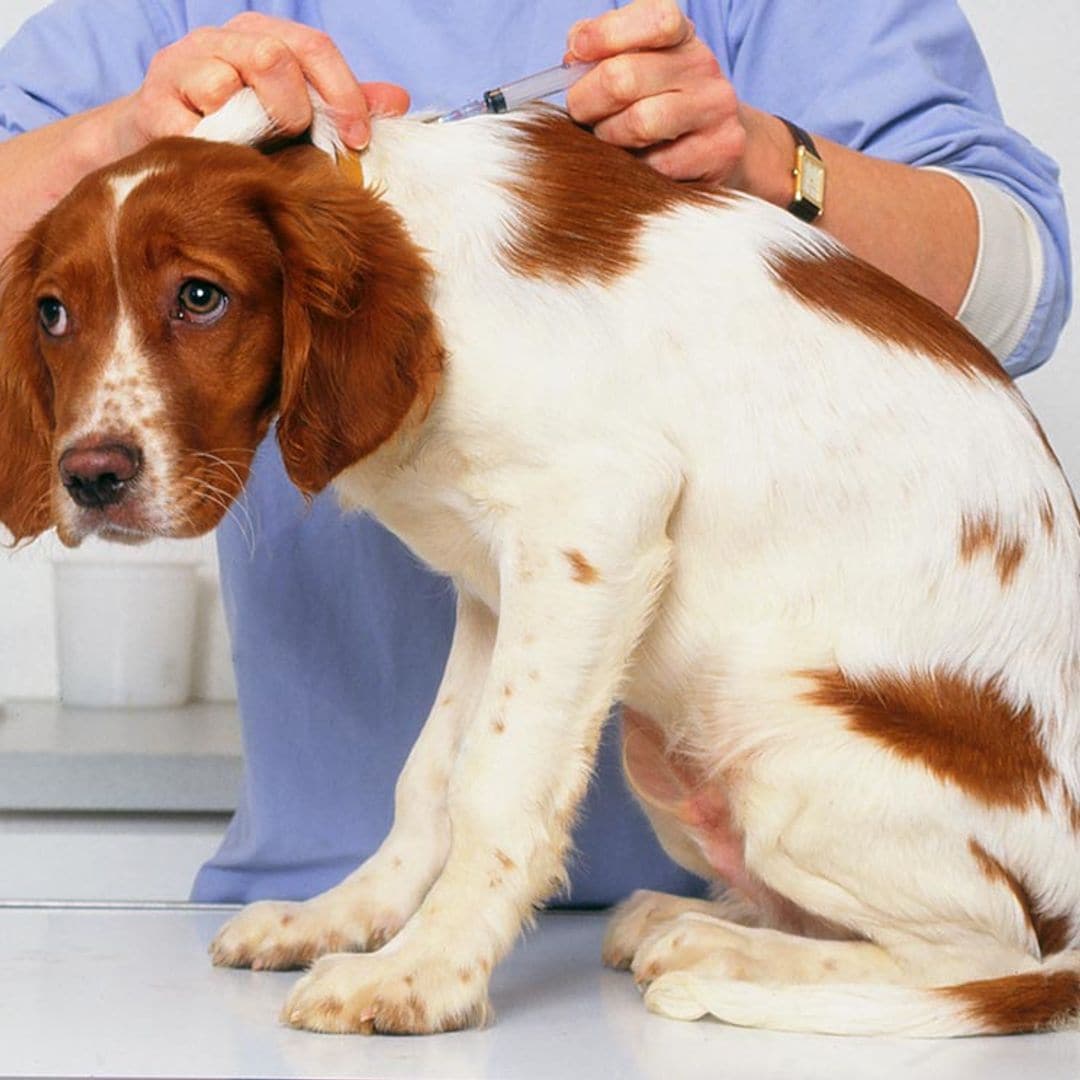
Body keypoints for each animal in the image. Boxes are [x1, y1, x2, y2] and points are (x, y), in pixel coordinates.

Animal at [2, 95, 1080, 1036]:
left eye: (200, 297)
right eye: (53, 314)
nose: (90, 478)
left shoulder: (592, 525)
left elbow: (496, 784)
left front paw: (423, 976)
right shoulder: (493, 581)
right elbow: (430, 777)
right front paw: (339, 919)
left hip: (780, 744)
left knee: (986, 956)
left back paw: (716, 951)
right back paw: (688, 918)